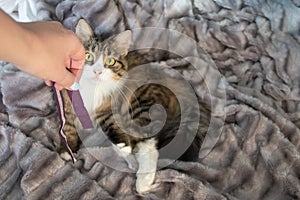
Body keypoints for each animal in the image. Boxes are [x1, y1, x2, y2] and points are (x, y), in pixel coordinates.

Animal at [60, 18, 211, 194]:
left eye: (110, 61)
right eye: (88, 56)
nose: (97, 72)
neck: (91, 90)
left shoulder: (108, 108)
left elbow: (110, 124)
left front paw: (122, 145)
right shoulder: (66, 102)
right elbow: (67, 127)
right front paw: (67, 148)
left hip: (140, 103)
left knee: (146, 141)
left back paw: (139, 174)